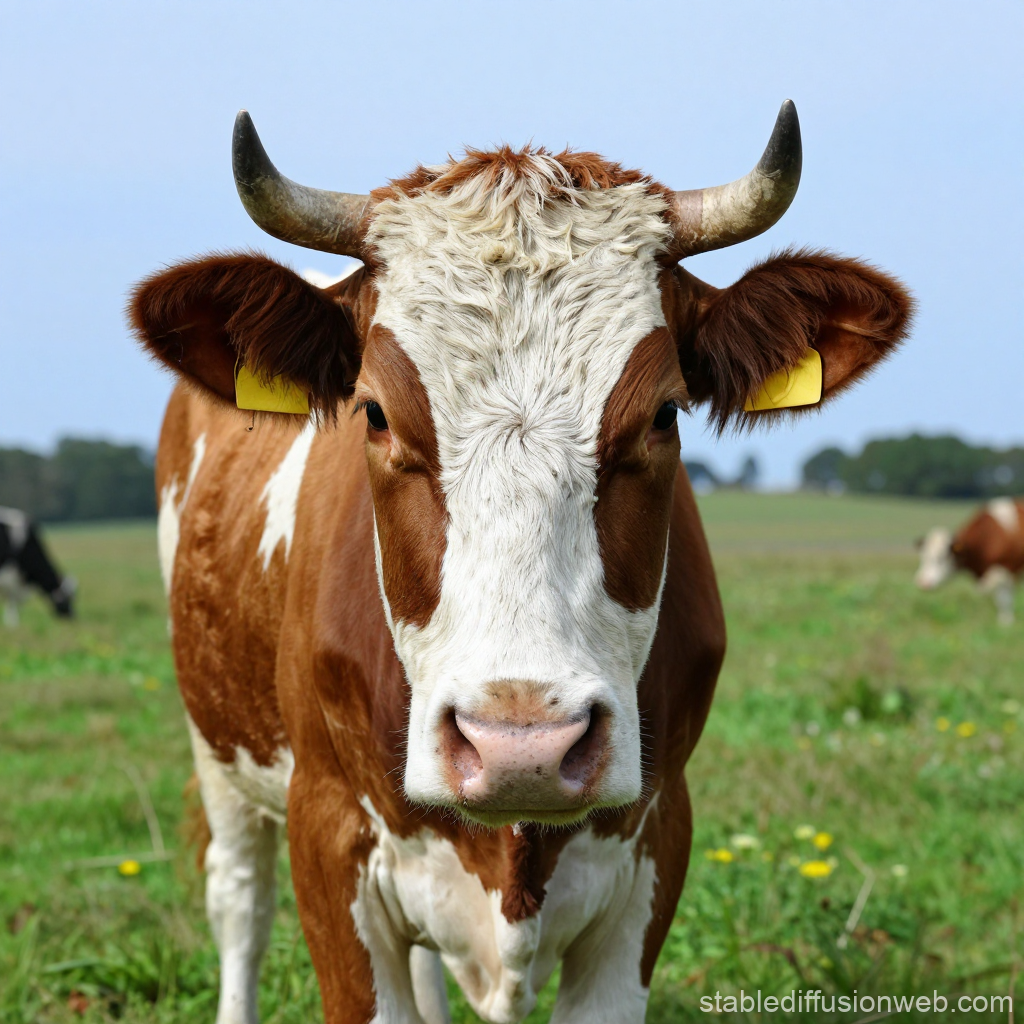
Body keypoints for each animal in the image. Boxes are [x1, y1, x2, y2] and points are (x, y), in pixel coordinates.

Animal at [129, 102, 912, 1024]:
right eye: (374, 412)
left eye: (664, 413)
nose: (520, 748)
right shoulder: (327, 843)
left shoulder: (653, 852)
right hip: (218, 748)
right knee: (240, 906)